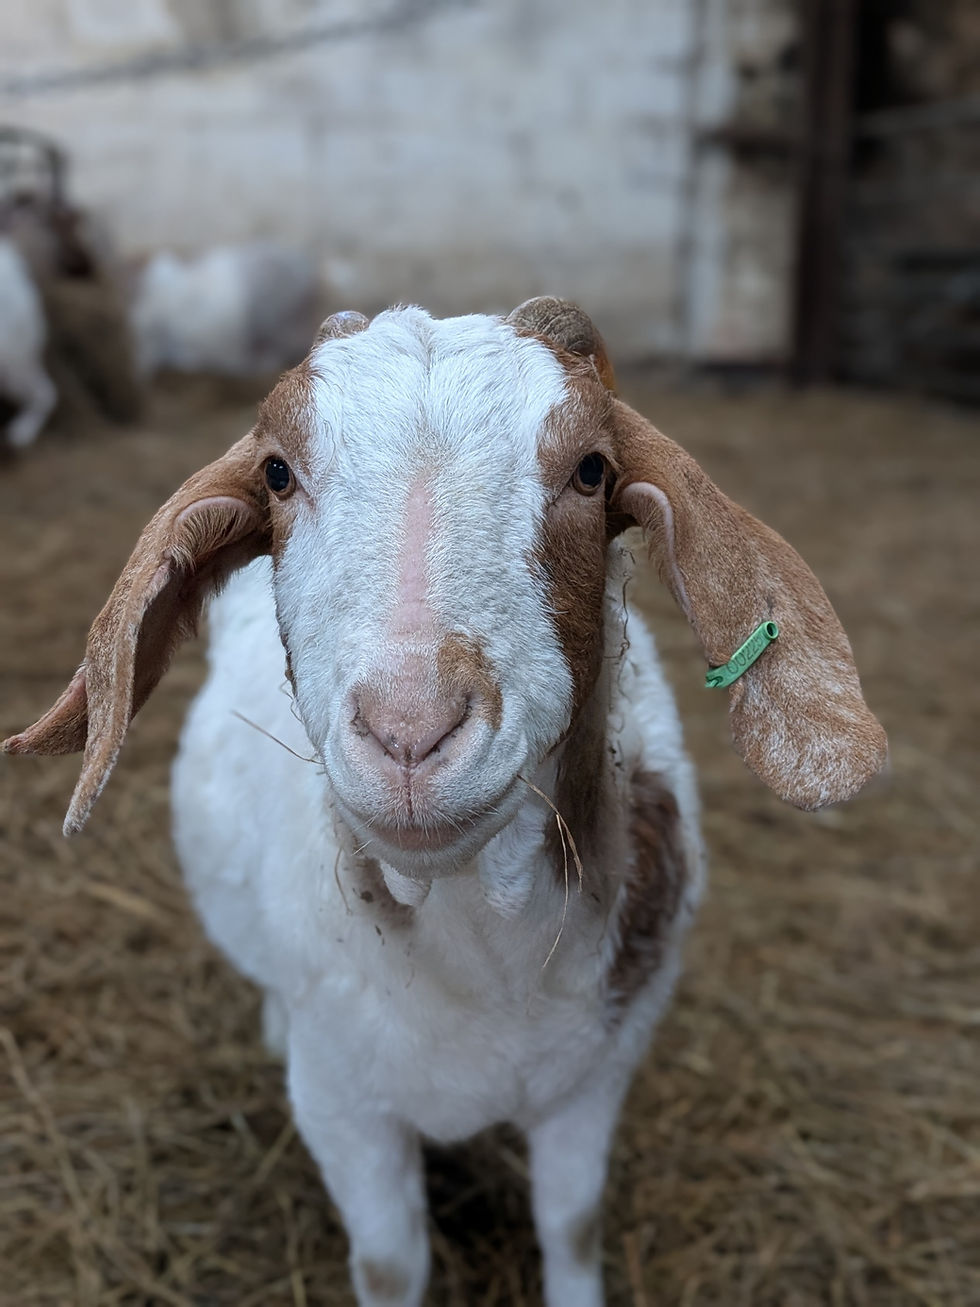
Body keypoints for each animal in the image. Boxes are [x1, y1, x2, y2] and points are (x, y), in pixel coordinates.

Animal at [4, 300, 887, 1307]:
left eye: (592, 470)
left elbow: (573, 1226)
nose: (410, 733)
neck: (481, 955)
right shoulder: (343, 1103)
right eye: (278, 473)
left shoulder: (593, 1079)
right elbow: (391, 1264)